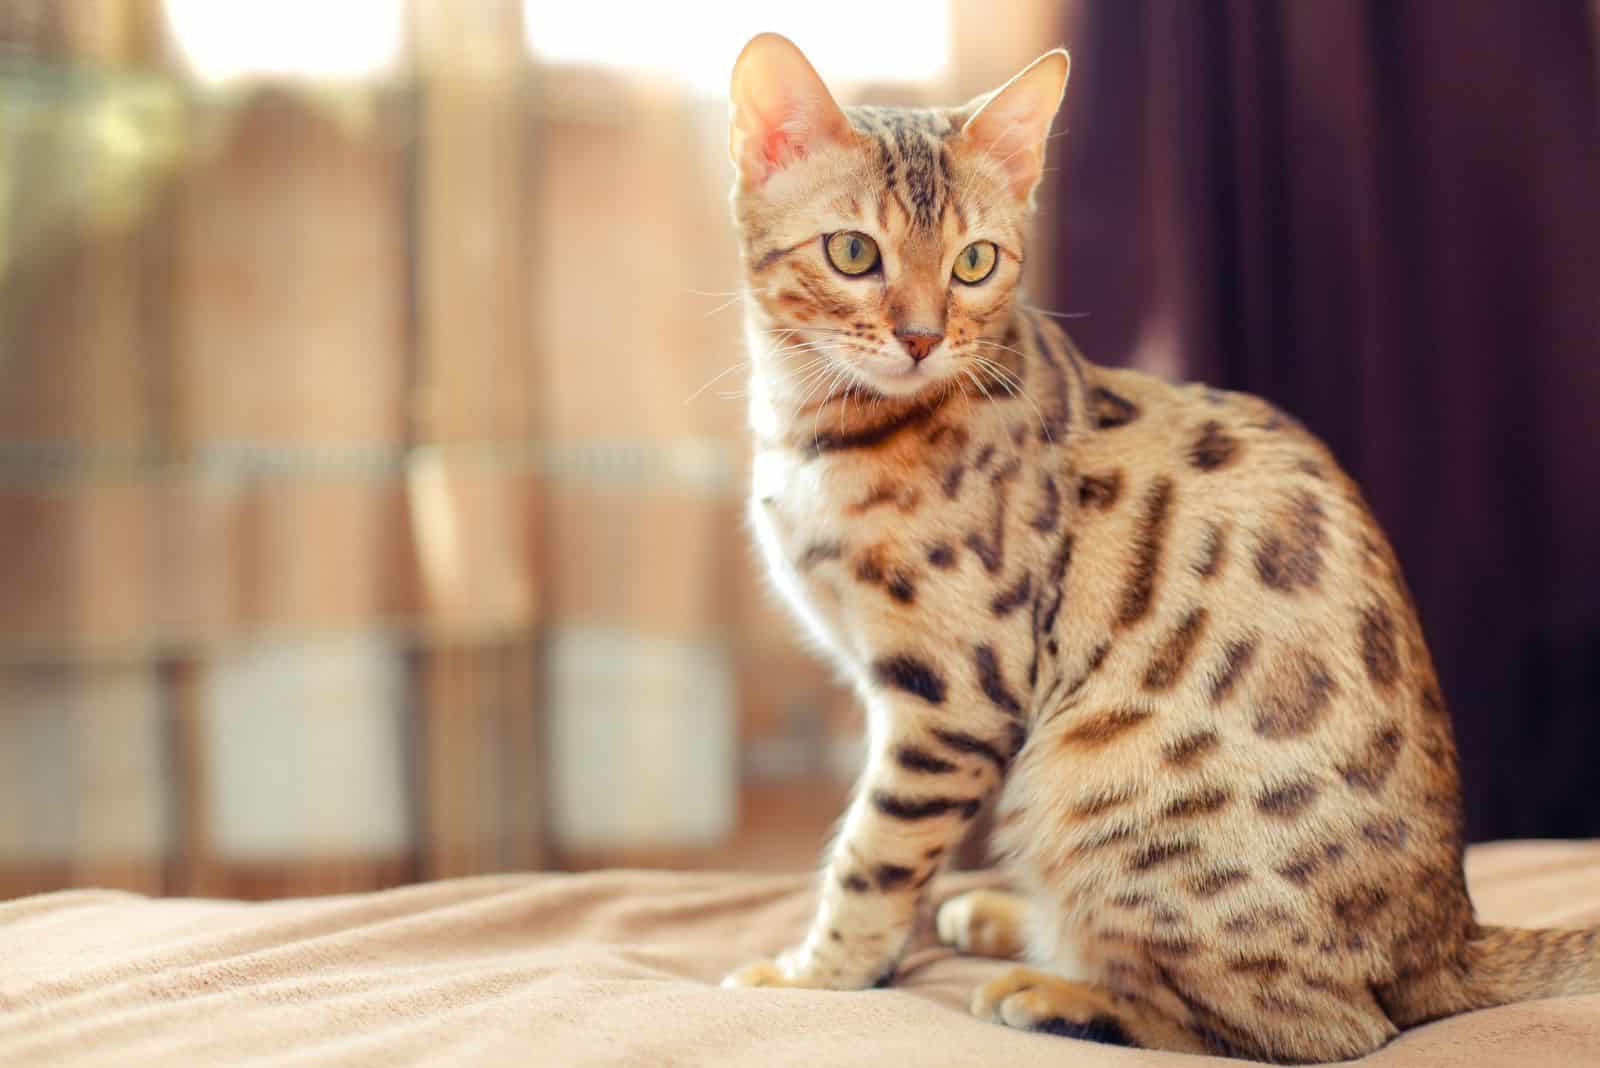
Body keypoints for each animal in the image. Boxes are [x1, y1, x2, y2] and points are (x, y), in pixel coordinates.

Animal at [723, 31, 1600, 1061]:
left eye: (975, 263)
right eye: (854, 251)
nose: (923, 339)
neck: (813, 431)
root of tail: (1452, 938)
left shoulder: (952, 695)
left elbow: (875, 854)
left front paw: (816, 979)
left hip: (1095, 790)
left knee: (1318, 1027)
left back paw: (1051, 989)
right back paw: (1010, 920)